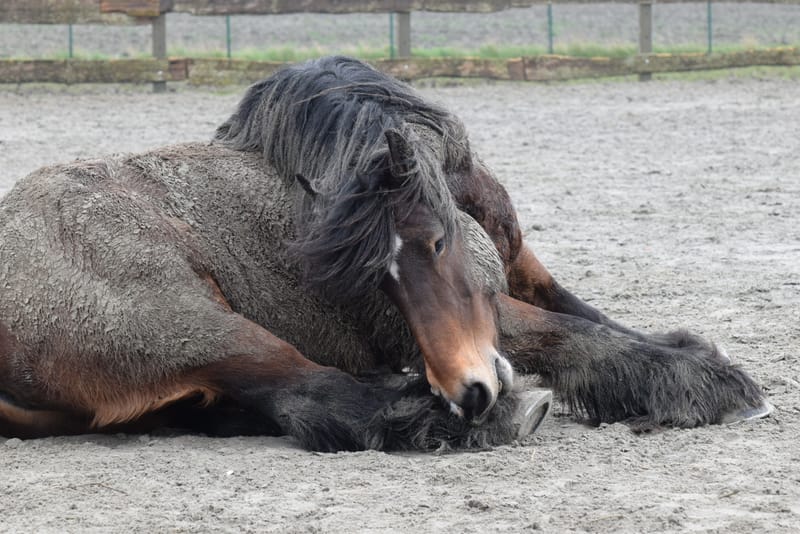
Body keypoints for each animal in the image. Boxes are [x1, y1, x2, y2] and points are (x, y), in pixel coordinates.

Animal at [0, 56, 770, 451]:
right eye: (379, 278)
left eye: (437, 242)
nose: (468, 389)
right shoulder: (477, 322)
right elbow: (577, 337)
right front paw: (710, 387)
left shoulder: (524, 279)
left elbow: (602, 323)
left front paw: (695, 359)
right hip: (190, 323)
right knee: (317, 397)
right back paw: (474, 416)